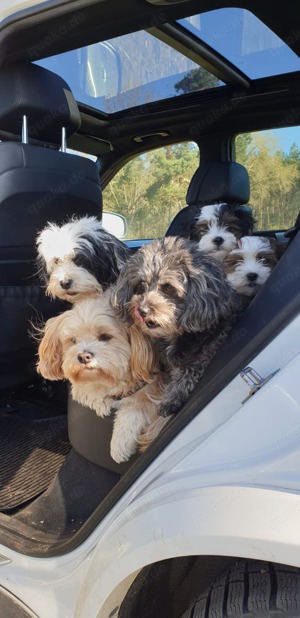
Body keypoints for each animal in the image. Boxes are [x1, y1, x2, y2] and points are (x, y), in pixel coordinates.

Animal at [36, 294, 163, 462]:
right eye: (73, 340)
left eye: (105, 337)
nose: (83, 357)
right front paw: (98, 401)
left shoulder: (152, 394)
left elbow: (133, 409)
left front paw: (119, 444)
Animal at [111, 236, 243, 418]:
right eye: (141, 285)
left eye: (168, 287)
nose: (142, 310)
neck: (175, 335)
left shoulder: (205, 350)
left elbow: (187, 373)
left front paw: (170, 399)